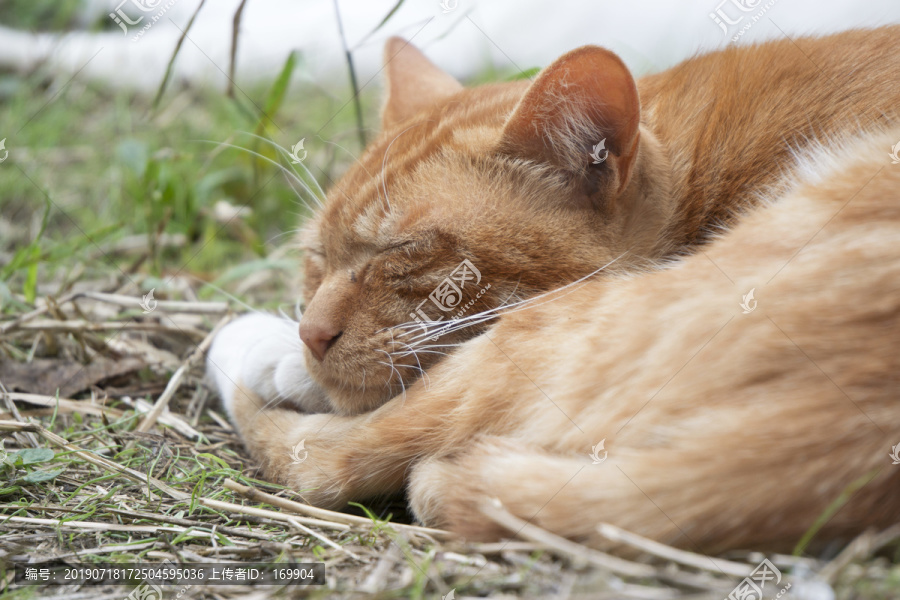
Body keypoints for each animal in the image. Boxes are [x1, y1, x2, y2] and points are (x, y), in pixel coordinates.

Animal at [207, 29, 900, 552]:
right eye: (316, 258)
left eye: (401, 251)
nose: (310, 333)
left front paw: (283, 354)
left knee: (340, 454)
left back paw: (247, 345)